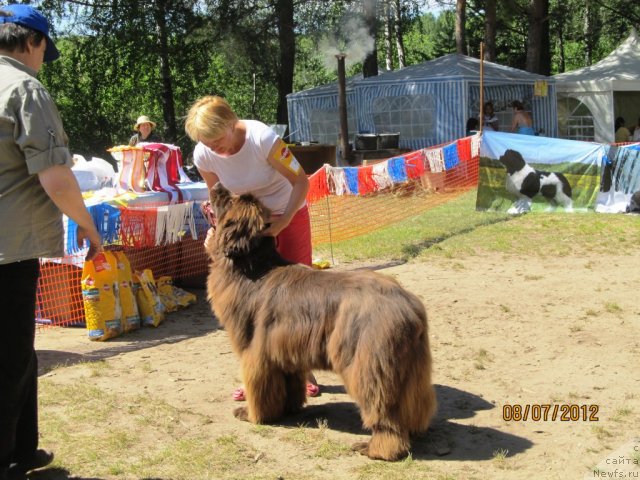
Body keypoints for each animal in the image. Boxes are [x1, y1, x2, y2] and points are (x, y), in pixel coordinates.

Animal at [208, 184, 438, 462]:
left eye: (229, 200)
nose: (216, 186)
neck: (254, 268)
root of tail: (409, 306)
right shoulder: (283, 351)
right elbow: (288, 386)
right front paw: (288, 409)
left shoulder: (256, 353)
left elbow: (259, 388)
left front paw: (251, 415)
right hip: (412, 366)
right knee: (415, 404)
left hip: (370, 363)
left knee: (384, 411)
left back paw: (376, 449)